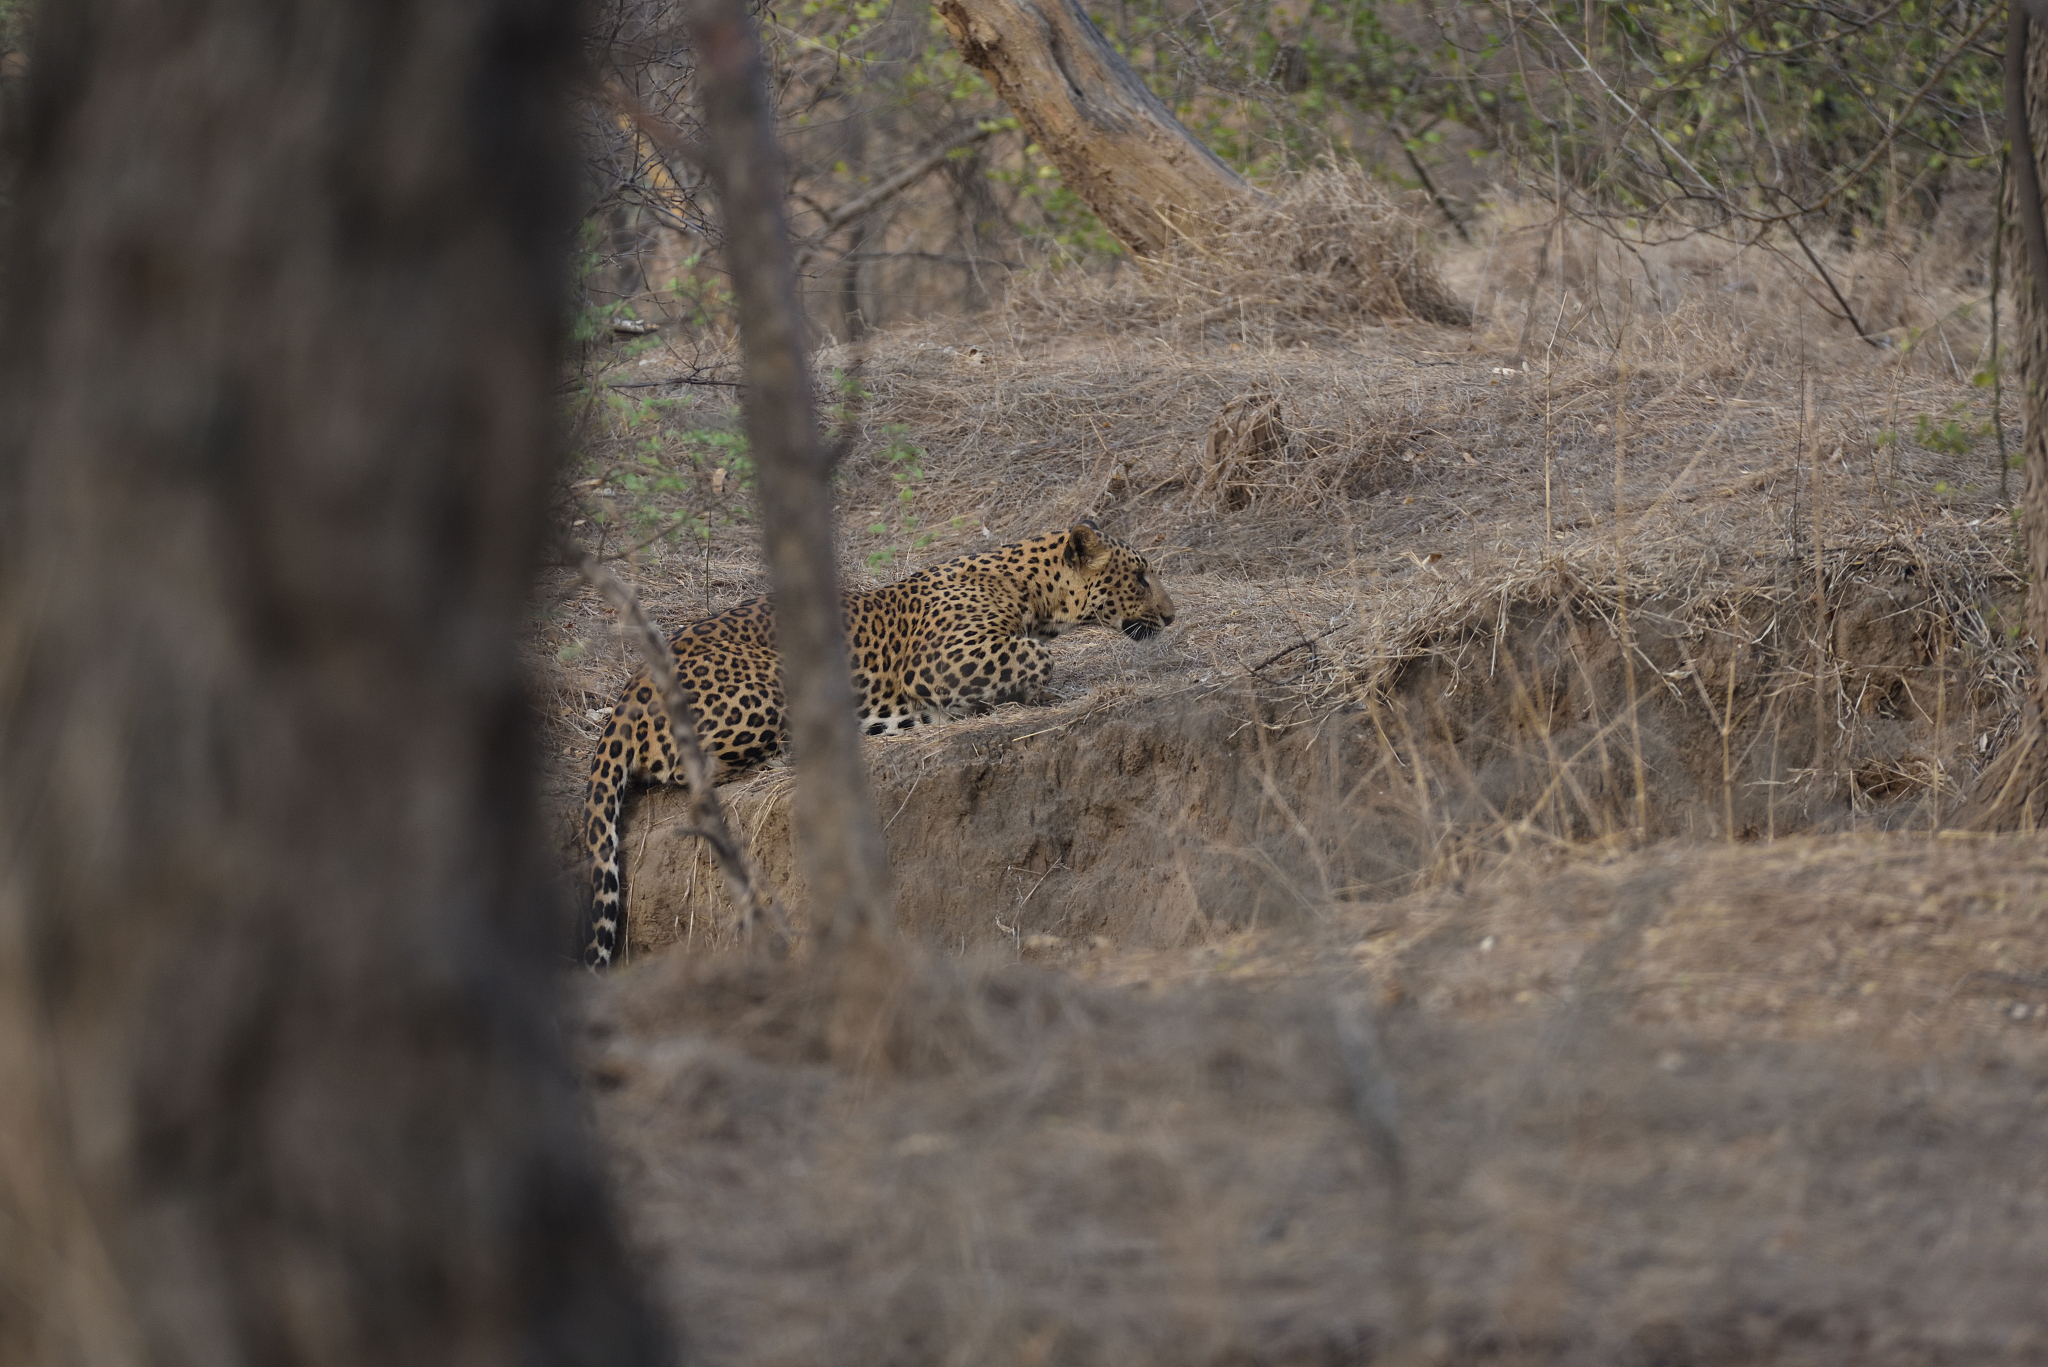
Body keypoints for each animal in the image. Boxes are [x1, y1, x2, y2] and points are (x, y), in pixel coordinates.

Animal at [577, 521, 1175, 968]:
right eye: (1141, 577)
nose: (1172, 617)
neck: (1030, 590)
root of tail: (628, 693)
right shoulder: (944, 661)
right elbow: (1037, 656)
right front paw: (1017, 695)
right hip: (775, 680)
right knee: (699, 767)